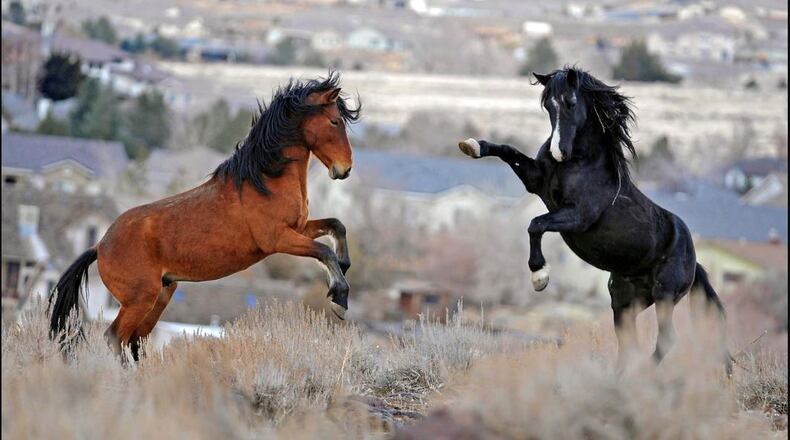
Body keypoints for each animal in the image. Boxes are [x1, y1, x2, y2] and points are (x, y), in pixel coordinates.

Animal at [49, 71, 361, 360]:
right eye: (335, 122)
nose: (344, 169)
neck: (264, 180)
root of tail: (99, 246)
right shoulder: (278, 239)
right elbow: (323, 251)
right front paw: (339, 299)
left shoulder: (299, 227)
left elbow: (337, 226)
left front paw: (344, 266)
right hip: (140, 299)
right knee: (115, 337)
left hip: (161, 295)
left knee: (135, 341)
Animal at [458, 67, 732, 373]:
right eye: (548, 105)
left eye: (571, 103)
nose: (559, 152)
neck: (579, 163)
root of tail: (694, 260)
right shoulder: (534, 180)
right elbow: (508, 151)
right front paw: (472, 145)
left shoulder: (577, 217)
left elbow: (536, 224)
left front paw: (539, 276)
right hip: (625, 302)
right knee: (629, 343)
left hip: (665, 295)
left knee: (667, 339)